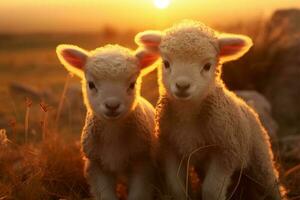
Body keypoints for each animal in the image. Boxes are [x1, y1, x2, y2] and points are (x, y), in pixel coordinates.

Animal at [56, 44, 159, 200]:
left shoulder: (142, 163)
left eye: (132, 84)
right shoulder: (97, 166)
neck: (113, 133)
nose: (112, 105)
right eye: (91, 84)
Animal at [134, 20, 286, 200]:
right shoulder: (170, 148)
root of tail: (247, 105)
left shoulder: (226, 152)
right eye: (166, 63)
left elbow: (211, 190)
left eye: (207, 66)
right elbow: (177, 188)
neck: (188, 115)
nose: (182, 86)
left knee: (271, 184)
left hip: (260, 157)